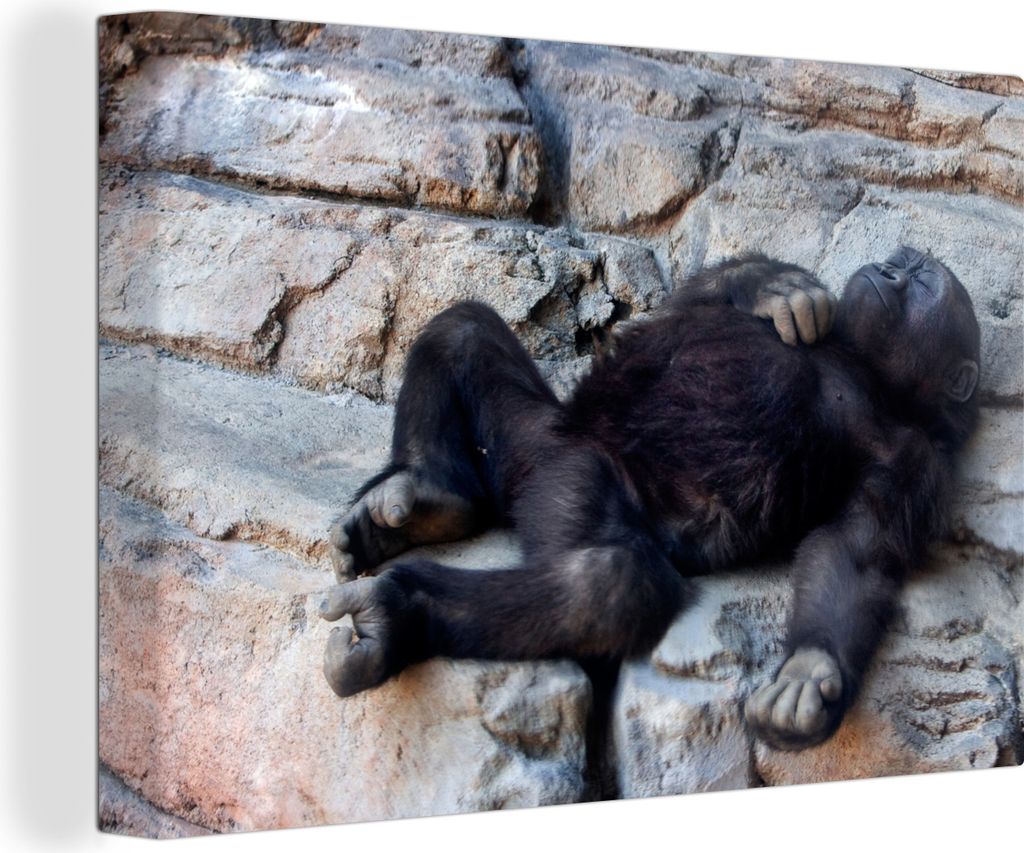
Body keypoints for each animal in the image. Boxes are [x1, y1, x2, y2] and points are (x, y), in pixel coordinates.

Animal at [321, 247, 980, 751]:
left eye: (921, 279)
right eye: (903, 265)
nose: (889, 269)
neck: (862, 368)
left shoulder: (911, 463)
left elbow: (855, 553)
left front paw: (810, 667)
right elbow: (681, 307)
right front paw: (774, 285)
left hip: (566, 479)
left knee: (611, 584)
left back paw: (398, 614)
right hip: (538, 437)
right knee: (462, 327)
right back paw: (426, 492)